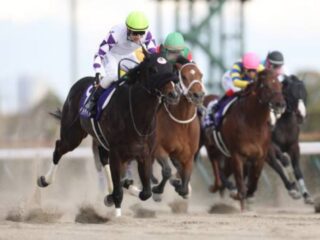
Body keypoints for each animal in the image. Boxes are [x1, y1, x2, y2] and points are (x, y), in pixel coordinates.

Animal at [37, 52, 180, 218]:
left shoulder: (144, 154)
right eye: (153, 70)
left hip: (101, 141)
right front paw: (117, 214)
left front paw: (119, 192)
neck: (135, 114)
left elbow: (146, 193)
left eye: (171, 69)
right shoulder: (117, 152)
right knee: (59, 148)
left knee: (103, 159)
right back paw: (45, 180)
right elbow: (120, 191)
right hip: (72, 135)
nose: (173, 94)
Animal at [151, 56, 205, 201]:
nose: (198, 95)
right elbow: (167, 171)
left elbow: (185, 181)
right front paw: (157, 189)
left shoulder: (189, 156)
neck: (182, 124)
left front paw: (180, 185)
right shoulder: (159, 148)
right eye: (184, 76)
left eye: (201, 75)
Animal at [201, 70, 286, 210]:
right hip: (211, 147)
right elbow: (241, 185)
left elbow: (253, 183)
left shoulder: (259, 157)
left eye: (280, 85)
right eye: (266, 86)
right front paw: (238, 196)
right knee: (216, 168)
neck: (253, 123)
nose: (280, 104)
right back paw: (218, 186)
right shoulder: (237, 155)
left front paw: (246, 196)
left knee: (224, 172)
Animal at [266, 75, 314, 204]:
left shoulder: (294, 146)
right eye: (291, 94)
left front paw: (306, 195)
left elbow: (297, 169)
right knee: (276, 165)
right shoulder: (270, 146)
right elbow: (283, 161)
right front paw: (293, 188)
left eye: (305, 93)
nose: (301, 115)